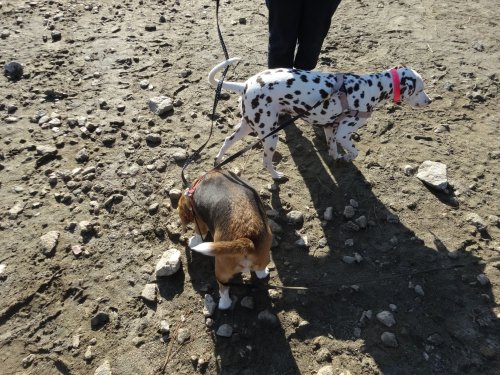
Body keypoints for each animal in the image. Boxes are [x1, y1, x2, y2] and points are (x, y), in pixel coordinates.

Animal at [177, 169, 272, 310]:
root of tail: (247, 240)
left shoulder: (200, 220)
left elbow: (200, 233)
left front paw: (193, 241)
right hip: (264, 251)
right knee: (260, 269)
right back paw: (263, 272)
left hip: (221, 270)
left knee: (224, 288)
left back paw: (223, 304)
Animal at [207, 58, 430, 181]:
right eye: (420, 89)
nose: (429, 101)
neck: (373, 87)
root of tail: (245, 84)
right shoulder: (343, 133)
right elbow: (354, 152)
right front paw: (347, 158)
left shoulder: (331, 129)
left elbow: (333, 150)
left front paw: (337, 159)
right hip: (270, 136)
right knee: (265, 161)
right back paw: (276, 176)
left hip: (247, 126)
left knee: (226, 142)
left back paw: (217, 161)